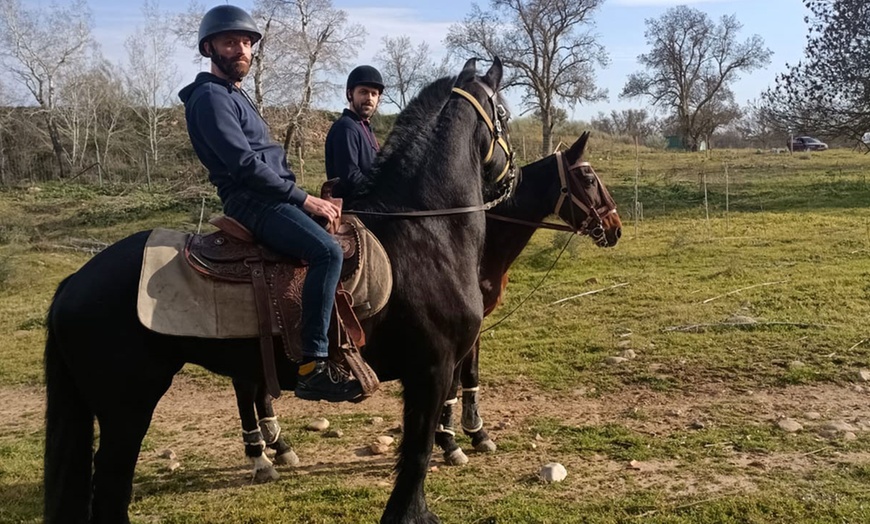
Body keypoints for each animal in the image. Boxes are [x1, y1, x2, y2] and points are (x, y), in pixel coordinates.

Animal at [44, 57, 516, 524]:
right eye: (506, 116)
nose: (511, 178)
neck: (424, 231)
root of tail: (72, 283)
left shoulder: (437, 369)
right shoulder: (431, 370)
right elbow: (416, 456)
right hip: (127, 407)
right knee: (111, 487)